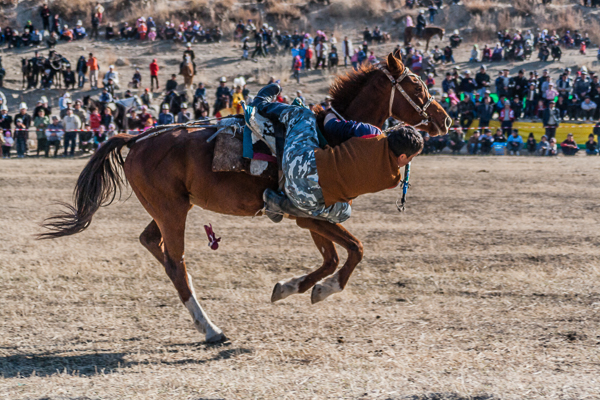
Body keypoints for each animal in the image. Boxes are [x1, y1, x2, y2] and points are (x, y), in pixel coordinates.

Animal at [39, 50, 452, 344]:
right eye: (417, 86)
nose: (445, 119)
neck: (329, 133)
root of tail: (137, 138)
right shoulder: (307, 213)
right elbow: (354, 250)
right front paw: (323, 289)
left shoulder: (310, 215)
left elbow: (333, 256)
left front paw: (291, 287)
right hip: (172, 211)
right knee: (176, 263)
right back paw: (211, 329)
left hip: (169, 208)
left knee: (151, 242)